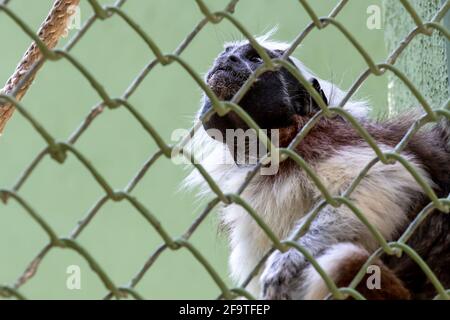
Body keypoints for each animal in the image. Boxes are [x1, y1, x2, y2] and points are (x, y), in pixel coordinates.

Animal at [184, 33, 450, 298]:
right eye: (227, 53)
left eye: (255, 58)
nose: (227, 60)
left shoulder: (323, 140)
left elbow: (385, 179)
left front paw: (291, 256)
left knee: (345, 260)